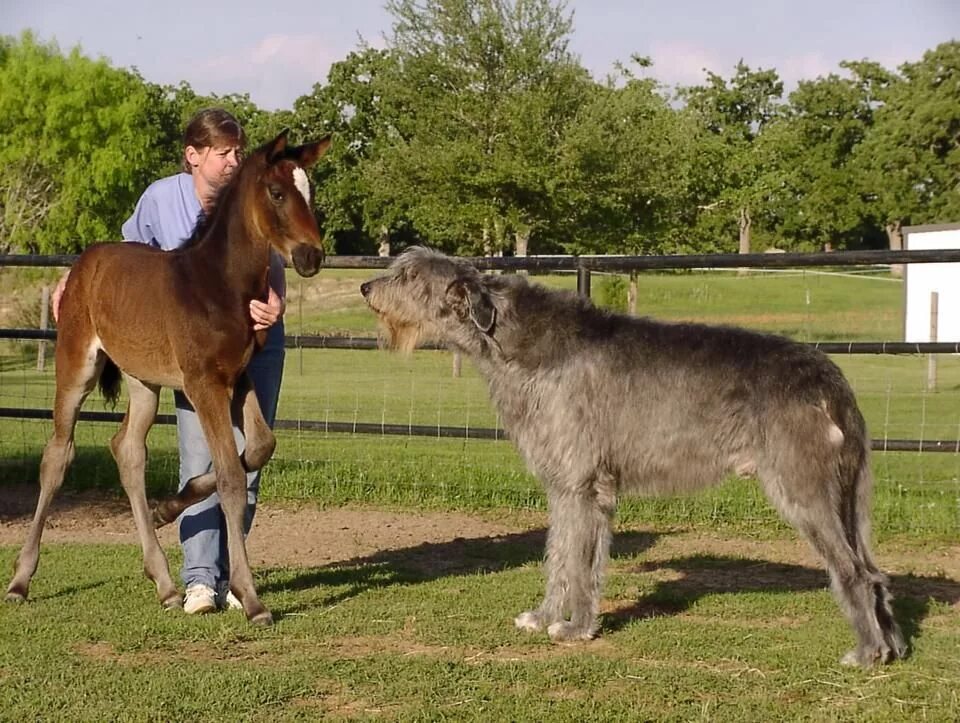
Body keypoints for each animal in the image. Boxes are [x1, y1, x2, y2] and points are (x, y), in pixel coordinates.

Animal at [360, 247, 908, 668]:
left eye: (409, 275)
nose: (365, 287)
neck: (517, 342)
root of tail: (831, 378)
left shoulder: (581, 483)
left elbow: (578, 559)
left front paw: (575, 628)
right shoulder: (568, 486)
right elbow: (560, 555)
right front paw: (546, 617)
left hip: (802, 485)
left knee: (854, 572)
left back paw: (866, 653)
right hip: (845, 489)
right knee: (875, 570)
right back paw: (894, 646)